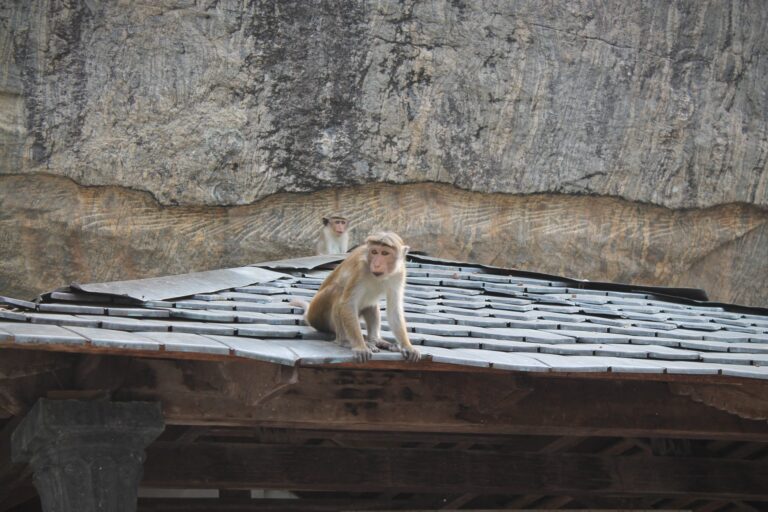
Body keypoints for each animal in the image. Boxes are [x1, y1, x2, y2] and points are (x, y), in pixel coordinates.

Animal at [292, 230, 420, 362]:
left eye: (385, 253)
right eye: (374, 252)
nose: (376, 264)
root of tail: (310, 315)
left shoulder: (399, 272)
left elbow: (394, 309)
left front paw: (407, 346)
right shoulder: (360, 269)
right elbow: (348, 304)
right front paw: (360, 347)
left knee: (371, 304)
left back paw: (375, 340)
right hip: (318, 315)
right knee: (338, 291)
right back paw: (345, 341)